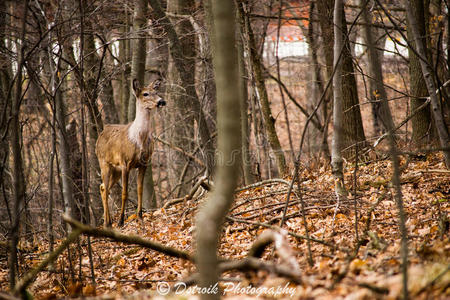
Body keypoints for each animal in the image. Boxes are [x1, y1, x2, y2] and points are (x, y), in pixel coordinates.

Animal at [95, 78, 165, 226]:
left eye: (156, 92)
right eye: (145, 94)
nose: (161, 101)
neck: (139, 139)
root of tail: (101, 133)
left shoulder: (144, 163)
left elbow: (140, 190)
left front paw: (140, 216)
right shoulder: (125, 163)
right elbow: (125, 193)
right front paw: (121, 221)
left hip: (115, 170)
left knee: (103, 188)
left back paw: (108, 221)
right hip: (104, 163)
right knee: (105, 188)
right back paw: (108, 223)